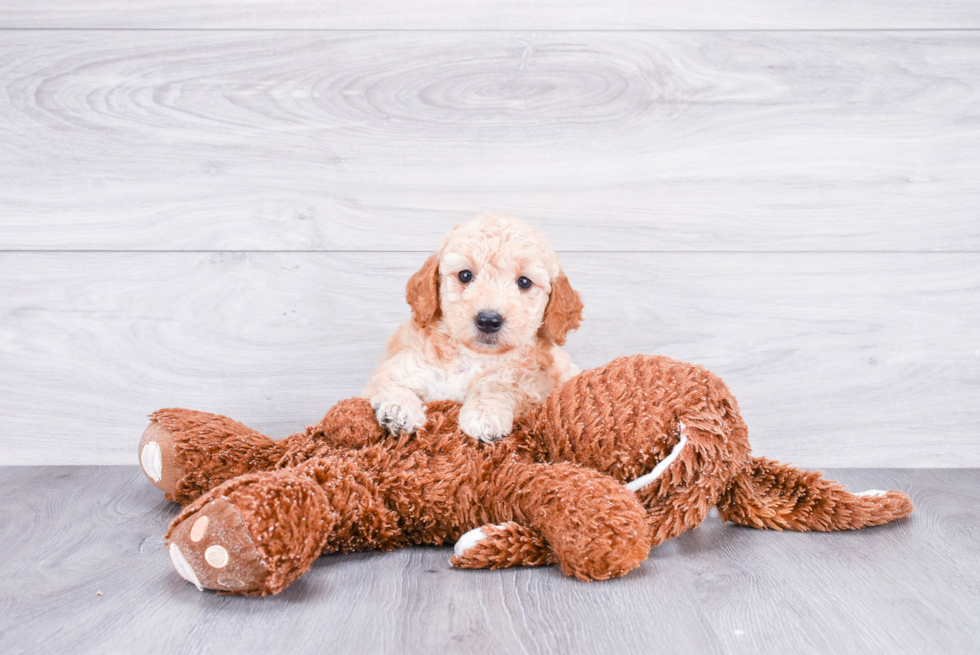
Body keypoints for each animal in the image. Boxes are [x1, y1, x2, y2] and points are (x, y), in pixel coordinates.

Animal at [366, 213, 580, 444]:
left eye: (524, 282)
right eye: (465, 275)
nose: (488, 320)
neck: (472, 357)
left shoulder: (530, 383)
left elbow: (500, 384)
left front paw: (486, 413)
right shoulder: (405, 365)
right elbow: (390, 382)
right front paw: (398, 408)